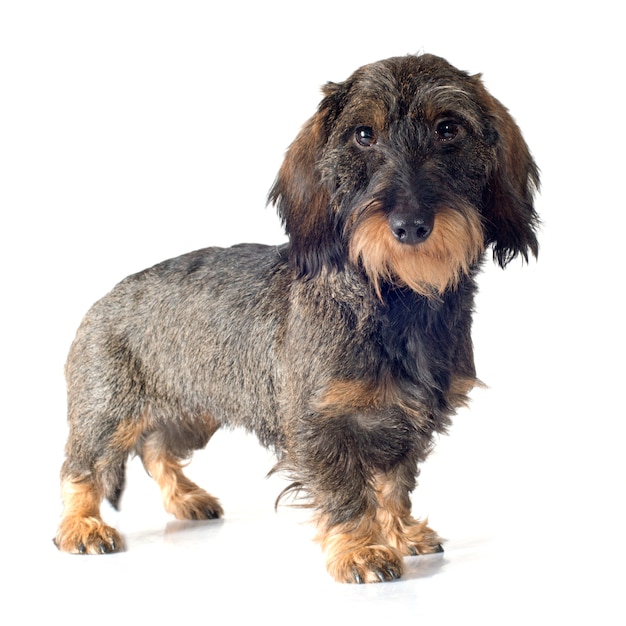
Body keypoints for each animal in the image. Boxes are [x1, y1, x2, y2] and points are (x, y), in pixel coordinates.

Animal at [54, 52, 536, 580]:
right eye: (363, 134)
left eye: (449, 128)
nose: (410, 226)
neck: (396, 298)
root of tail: (105, 299)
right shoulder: (320, 424)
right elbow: (349, 491)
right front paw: (361, 549)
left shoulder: (408, 422)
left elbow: (393, 483)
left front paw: (400, 532)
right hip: (108, 413)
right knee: (83, 467)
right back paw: (81, 526)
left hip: (192, 413)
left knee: (155, 449)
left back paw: (185, 498)